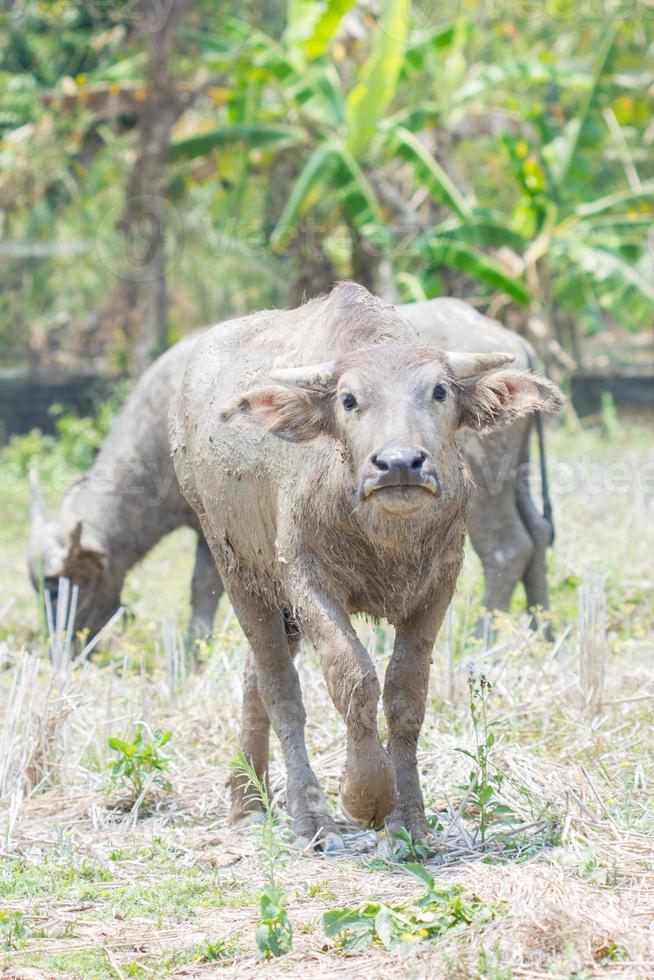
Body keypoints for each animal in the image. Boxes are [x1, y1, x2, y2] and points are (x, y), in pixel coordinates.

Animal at [28, 294, 556, 648]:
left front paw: (195, 649)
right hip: (517, 472)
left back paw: (483, 639)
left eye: (61, 586)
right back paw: (543, 629)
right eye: (39, 587)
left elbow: (201, 590)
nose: (62, 648)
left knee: (509, 548)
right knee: (538, 534)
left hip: (483, 486)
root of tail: (515, 343)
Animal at [170, 282, 564, 844]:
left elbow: (405, 693)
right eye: (349, 399)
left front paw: (409, 819)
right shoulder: (306, 580)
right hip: (236, 566)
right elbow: (353, 677)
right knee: (277, 683)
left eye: (439, 392)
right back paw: (305, 813)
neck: (384, 537)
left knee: (254, 674)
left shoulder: (438, 586)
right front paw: (366, 796)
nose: (399, 463)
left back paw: (247, 796)